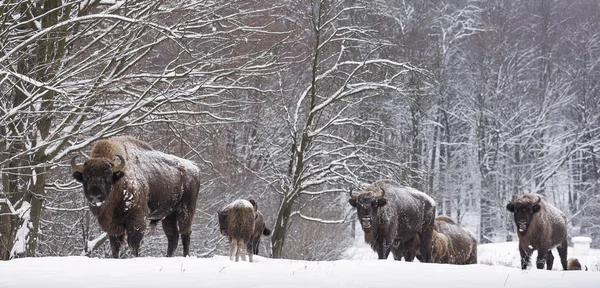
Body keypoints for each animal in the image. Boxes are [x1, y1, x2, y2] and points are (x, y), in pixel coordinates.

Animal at [71, 136, 200, 258]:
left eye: (107, 176)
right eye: (86, 177)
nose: (95, 197)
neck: (120, 180)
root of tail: (195, 168)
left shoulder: (137, 219)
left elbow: (133, 244)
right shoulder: (113, 226)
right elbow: (115, 248)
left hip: (186, 209)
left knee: (185, 233)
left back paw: (186, 255)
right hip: (169, 214)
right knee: (173, 236)